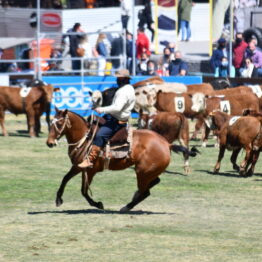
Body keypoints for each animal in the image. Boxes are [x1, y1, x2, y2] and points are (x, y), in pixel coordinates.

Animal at [46, 107, 198, 212]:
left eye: (59, 123)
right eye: (51, 122)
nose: (49, 143)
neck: (85, 138)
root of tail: (167, 144)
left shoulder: (87, 169)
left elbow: (81, 189)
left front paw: (97, 204)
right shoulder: (81, 168)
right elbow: (67, 179)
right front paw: (59, 199)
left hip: (142, 172)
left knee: (146, 191)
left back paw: (126, 207)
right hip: (148, 172)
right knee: (153, 183)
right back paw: (134, 197)